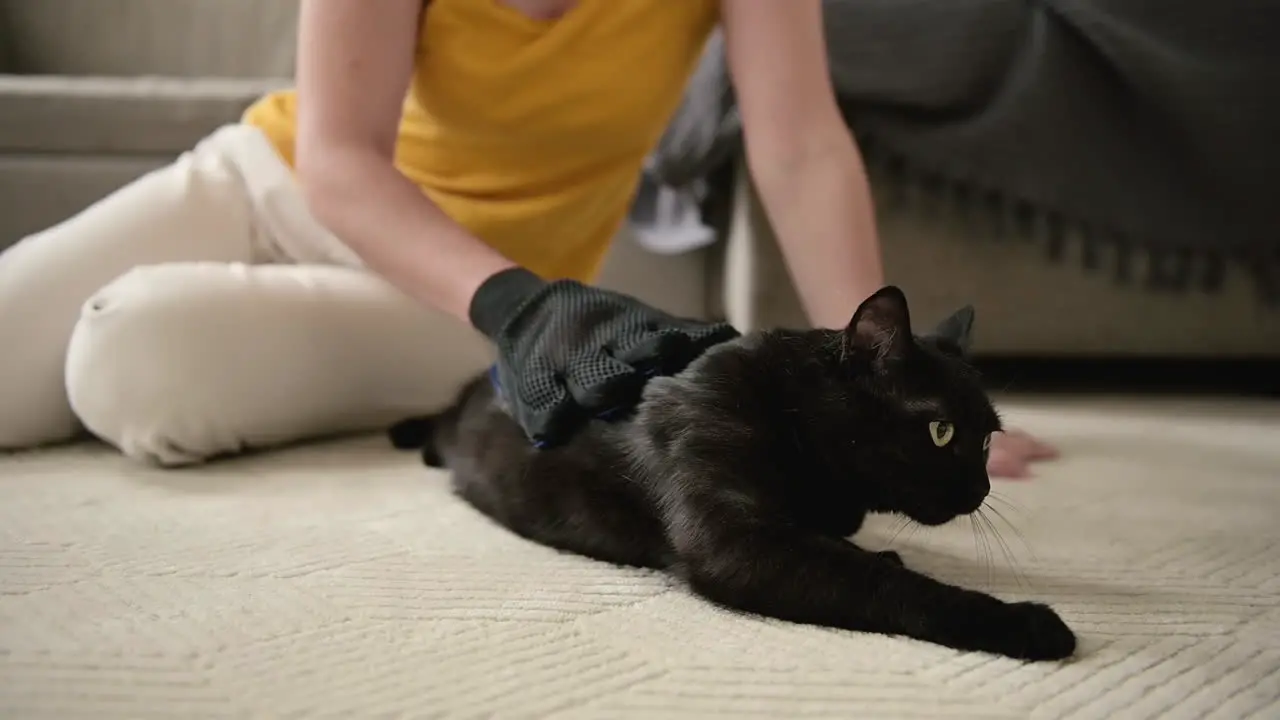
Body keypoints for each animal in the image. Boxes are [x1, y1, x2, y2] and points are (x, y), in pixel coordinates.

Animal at [391, 283, 1080, 661]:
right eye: (941, 431)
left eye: (987, 439)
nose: (983, 487)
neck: (789, 410)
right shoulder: (732, 537)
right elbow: (881, 583)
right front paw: (1022, 622)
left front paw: (882, 551)